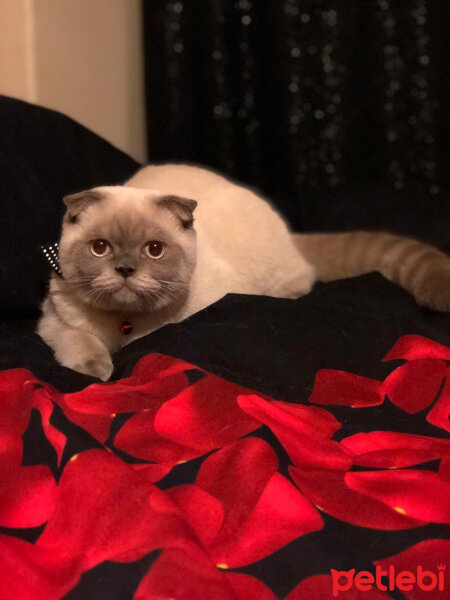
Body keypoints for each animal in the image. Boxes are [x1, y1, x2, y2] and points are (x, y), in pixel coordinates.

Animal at [37, 164, 450, 380]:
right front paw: (98, 371)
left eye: (154, 250)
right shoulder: (55, 322)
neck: (125, 326)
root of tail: (290, 236)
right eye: (100, 247)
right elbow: (81, 343)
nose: (124, 269)